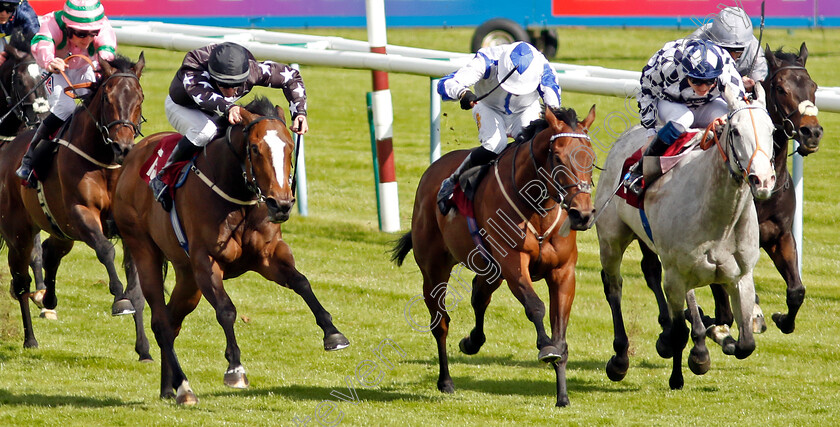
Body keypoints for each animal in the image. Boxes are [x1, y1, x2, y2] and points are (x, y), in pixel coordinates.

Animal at [0, 52, 148, 362]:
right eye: (108, 98)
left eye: (139, 97)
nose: (123, 147)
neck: (105, 161)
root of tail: (6, 153)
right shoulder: (81, 213)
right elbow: (106, 250)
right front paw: (119, 297)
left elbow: (138, 290)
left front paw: (144, 349)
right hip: (19, 233)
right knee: (21, 282)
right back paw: (30, 338)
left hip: (61, 230)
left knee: (49, 252)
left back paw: (49, 298)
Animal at [113, 96, 350, 404]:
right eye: (255, 148)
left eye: (289, 145)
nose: (281, 204)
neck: (239, 194)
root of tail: (131, 159)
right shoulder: (206, 262)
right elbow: (226, 310)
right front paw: (235, 368)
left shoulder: (268, 255)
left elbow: (302, 282)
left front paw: (333, 334)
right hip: (145, 251)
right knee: (161, 323)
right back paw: (184, 387)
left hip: (187, 278)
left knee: (172, 321)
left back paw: (169, 386)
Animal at [392, 107, 596, 408]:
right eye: (558, 157)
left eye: (591, 158)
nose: (582, 214)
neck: (536, 205)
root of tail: (433, 170)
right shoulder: (513, 263)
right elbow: (535, 307)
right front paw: (545, 347)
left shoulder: (563, 271)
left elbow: (561, 333)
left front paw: (562, 395)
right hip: (434, 268)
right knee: (440, 322)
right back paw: (446, 381)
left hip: (490, 269)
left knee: (479, 295)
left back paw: (472, 342)